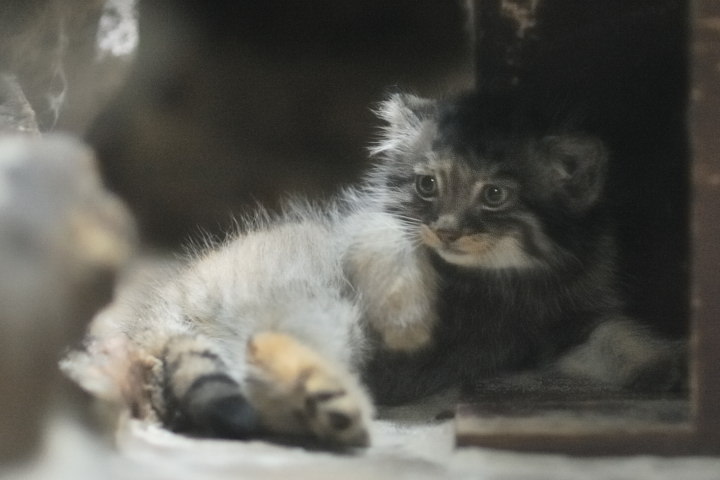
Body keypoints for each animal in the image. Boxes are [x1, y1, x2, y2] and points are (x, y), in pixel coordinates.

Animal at [63, 88, 688, 448]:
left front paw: (664, 364)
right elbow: (389, 236)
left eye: (494, 195)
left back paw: (321, 408)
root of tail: (158, 312)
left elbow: (615, 335)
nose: (447, 230)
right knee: (274, 342)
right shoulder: (358, 227)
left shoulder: (561, 328)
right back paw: (329, 394)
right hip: (315, 301)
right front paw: (411, 322)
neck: (492, 280)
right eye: (427, 184)